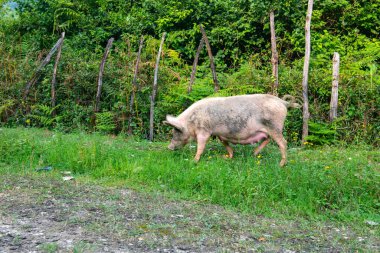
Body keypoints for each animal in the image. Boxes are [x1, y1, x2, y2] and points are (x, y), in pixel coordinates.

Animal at [163, 94, 300, 167]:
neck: (191, 121)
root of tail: (283, 102)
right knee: (268, 139)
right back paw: (254, 153)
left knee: (283, 143)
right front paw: (228, 157)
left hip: (275, 127)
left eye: (176, 131)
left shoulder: (204, 131)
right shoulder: (219, 134)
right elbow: (225, 143)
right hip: (269, 130)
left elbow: (200, 146)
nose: (169, 147)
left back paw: (281, 164)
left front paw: (194, 161)